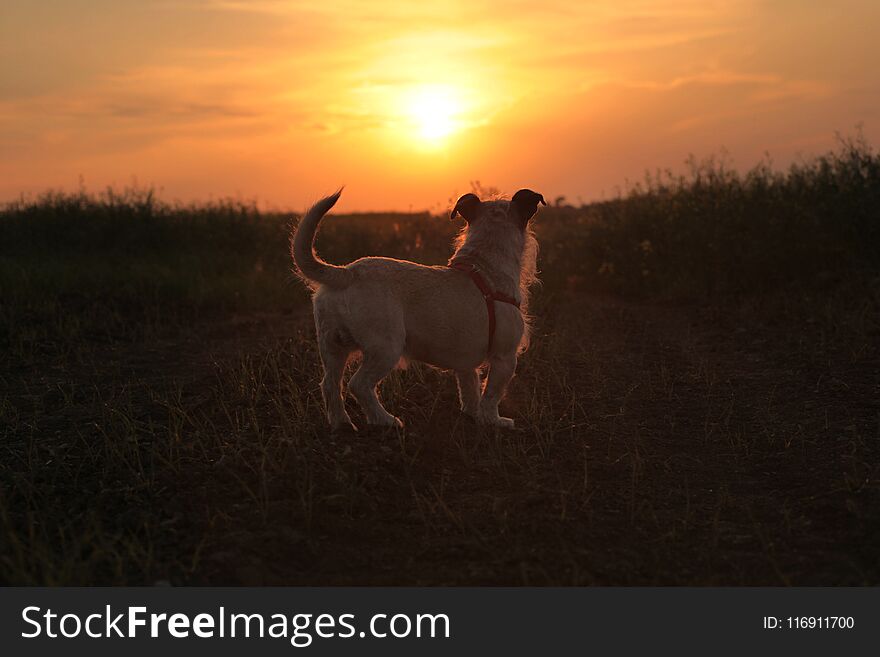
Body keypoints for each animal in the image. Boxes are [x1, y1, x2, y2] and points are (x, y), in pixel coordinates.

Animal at [294, 187, 544, 430]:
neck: (485, 266)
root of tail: (346, 273)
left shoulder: (466, 364)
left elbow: (470, 390)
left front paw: (473, 416)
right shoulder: (505, 358)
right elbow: (492, 394)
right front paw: (494, 421)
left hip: (332, 346)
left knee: (330, 384)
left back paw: (341, 423)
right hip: (386, 348)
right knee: (359, 385)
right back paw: (385, 419)